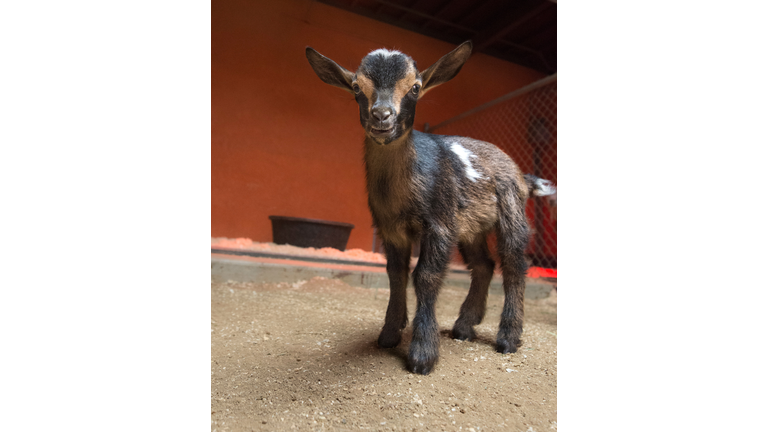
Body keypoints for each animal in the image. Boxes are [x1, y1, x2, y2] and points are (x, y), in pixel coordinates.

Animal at [305, 41, 556, 375]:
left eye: (415, 87)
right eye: (357, 87)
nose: (381, 115)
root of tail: (522, 176)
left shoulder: (439, 224)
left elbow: (425, 276)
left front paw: (423, 354)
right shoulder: (391, 229)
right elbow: (396, 273)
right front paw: (389, 333)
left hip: (510, 209)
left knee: (514, 263)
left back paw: (509, 338)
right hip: (470, 225)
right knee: (484, 265)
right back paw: (464, 326)